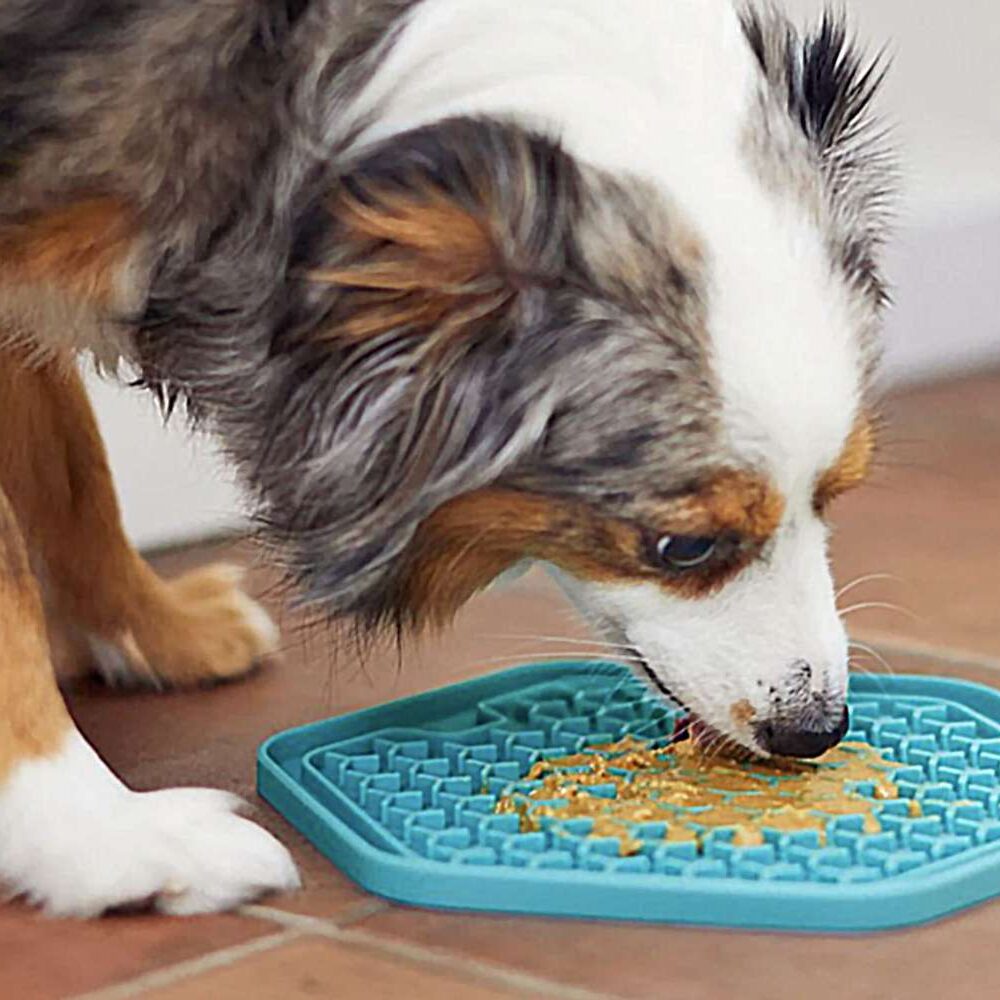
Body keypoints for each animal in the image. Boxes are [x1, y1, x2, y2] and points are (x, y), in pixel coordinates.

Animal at [0, 0, 892, 916]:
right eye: (683, 546)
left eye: (833, 494)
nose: (818, 729)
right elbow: (12, 579)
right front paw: (97, 835)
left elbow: (72, 469)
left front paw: (151, 631)